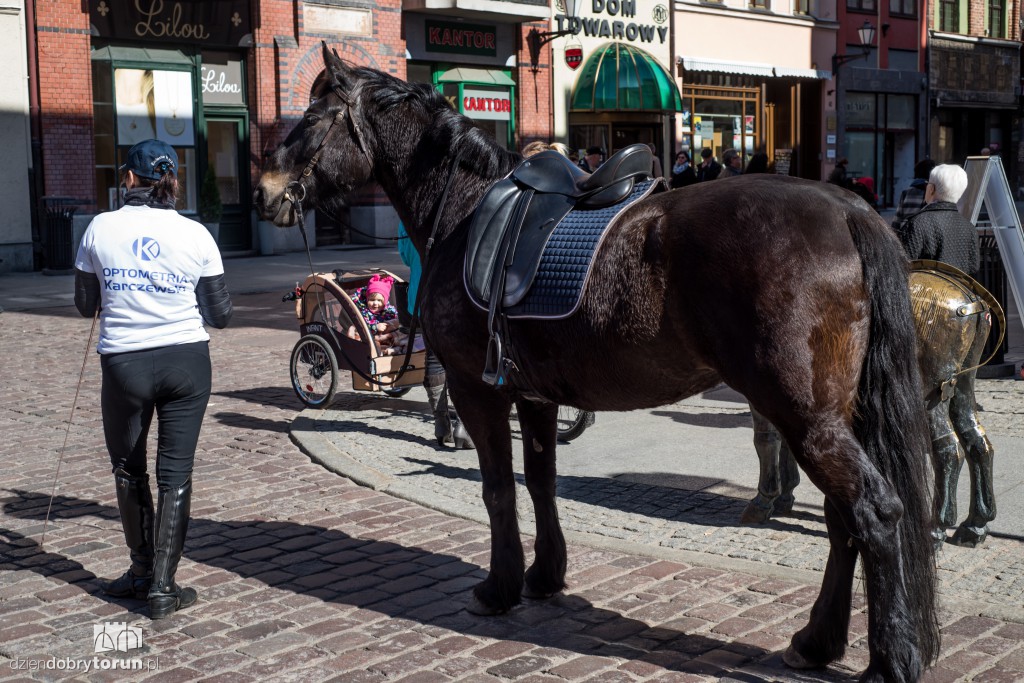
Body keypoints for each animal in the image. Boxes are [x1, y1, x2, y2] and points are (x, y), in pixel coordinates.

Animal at [253, 45, 937, 679]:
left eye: (310, 118)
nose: (264, 191)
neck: (466, 212)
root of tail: (848, 209)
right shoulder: (533, 396)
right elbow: (541, 481)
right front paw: (544, 575)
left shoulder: (478, 390)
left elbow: (498, 489)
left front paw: (500, 587)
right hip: (833, 415)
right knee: (843, 520)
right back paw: (817, 641)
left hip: (803, 416)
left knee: (874, 512)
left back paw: (890, 658)